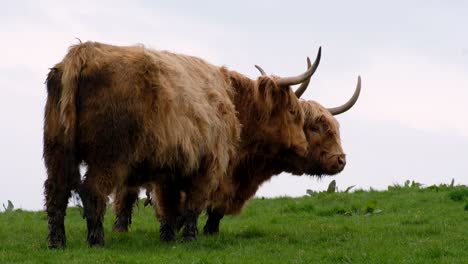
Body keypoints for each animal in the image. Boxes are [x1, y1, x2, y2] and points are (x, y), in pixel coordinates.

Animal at [44, 40, 314, 248]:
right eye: (293, 111)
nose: (304, 147)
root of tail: (84, 51)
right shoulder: (209, 164)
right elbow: (193, 204)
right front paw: (188, 238)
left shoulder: (169, 170)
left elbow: (170, 207)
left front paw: (168, 237)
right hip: (110, 155)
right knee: (92, 190)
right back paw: (96, 240)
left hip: (57, 150)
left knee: (56, 191)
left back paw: (57, 242)